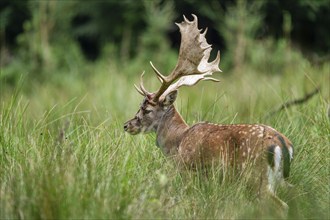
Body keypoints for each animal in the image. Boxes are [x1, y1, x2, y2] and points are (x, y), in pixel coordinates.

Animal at [124, 14, 294, 211]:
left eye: (146, 108)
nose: (127, 125)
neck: (177, 142)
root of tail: (283, 144)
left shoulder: (186, 170)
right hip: (279, 180)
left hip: (255, 176)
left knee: (282, 205)